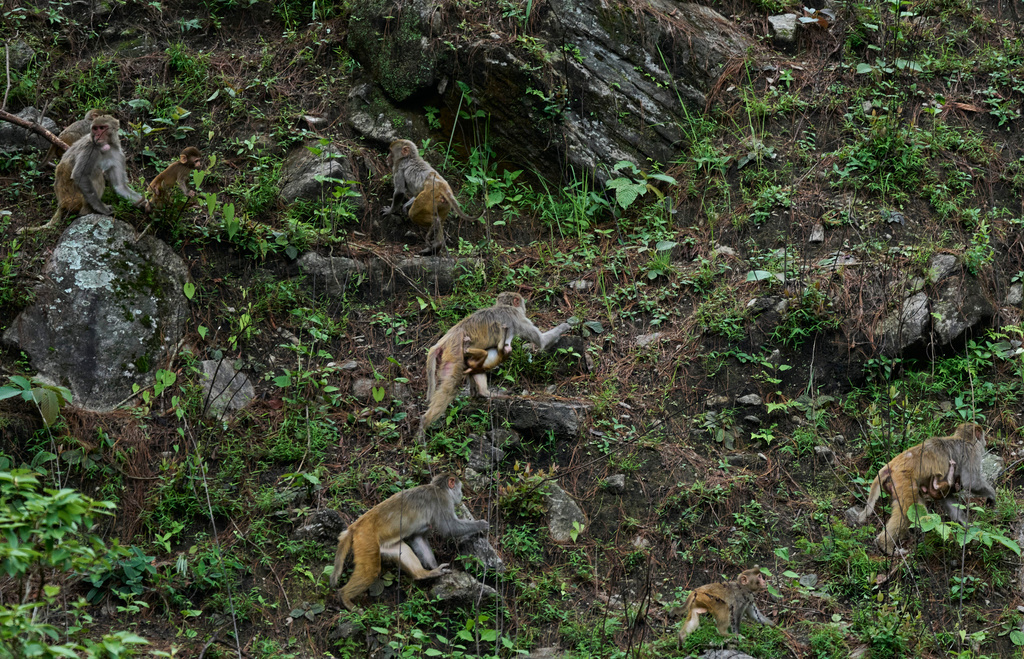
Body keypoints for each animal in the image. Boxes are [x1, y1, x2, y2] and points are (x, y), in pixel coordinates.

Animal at [329, 472, 489, 611]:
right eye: (459, 488)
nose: (461, 495)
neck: (439, 488)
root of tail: (355, 526)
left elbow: (417, 537)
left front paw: (433, 567)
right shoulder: (442, 502)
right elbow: (449, 528)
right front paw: (480, 525)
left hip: (381, 544)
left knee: (403, 550)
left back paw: (423, 574)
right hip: (366, 540)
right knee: (371, 570)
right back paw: (344, 597)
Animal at [415, 292, 575, 442]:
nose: (525, 307)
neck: (505, 307)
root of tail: (445, 338)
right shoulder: (518, 319)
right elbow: (541, 341)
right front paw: (566, 325)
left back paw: (482, 393)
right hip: (454, 352)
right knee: (450, 386)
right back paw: (424, 423)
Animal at [845, 423, 997, 555]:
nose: (985, 442)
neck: (964, 439)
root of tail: (892, 465)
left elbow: (948, 499)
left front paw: (968, 527)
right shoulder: (972, 454)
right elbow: (972, 482)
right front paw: (992, 495)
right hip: (905, 481)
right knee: (907, 513)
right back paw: (885, 546)